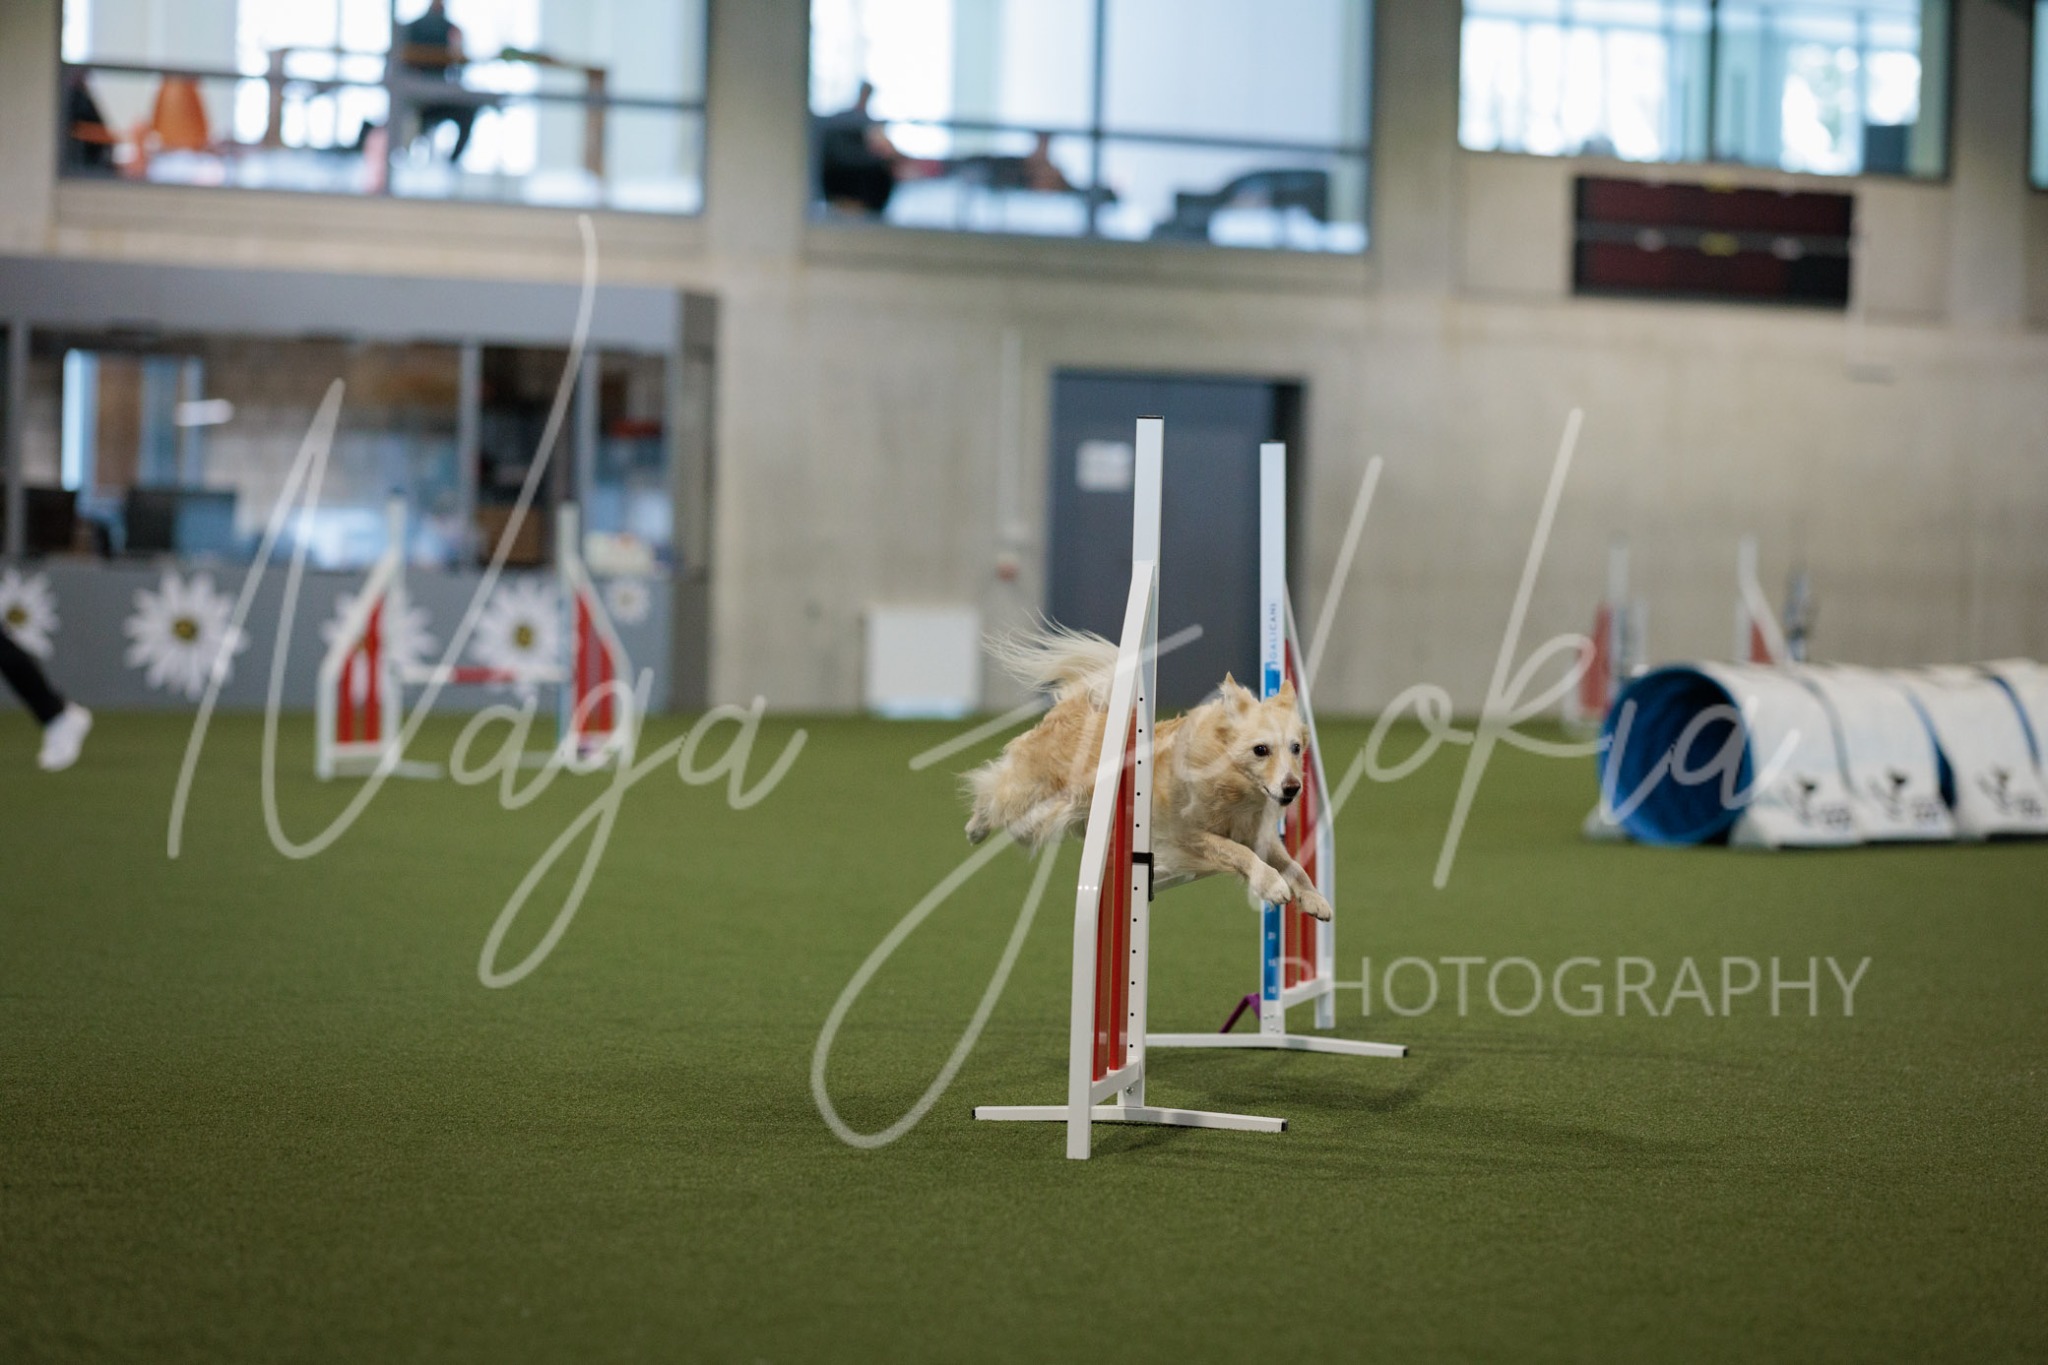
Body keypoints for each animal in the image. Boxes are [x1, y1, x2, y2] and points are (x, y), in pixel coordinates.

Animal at [963, 624, 1332, 920]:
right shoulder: (1188, 835)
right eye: (1261, 750)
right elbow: (1240, 853)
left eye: (1296, 748)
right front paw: (1272, 885)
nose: (1293, 788)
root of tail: (1075, 704)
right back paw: (976, 828)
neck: (1230, 783)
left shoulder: (1258, 834)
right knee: (993, 791)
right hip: (1032, 805)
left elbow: (1294, 865)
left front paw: (1314, 899)